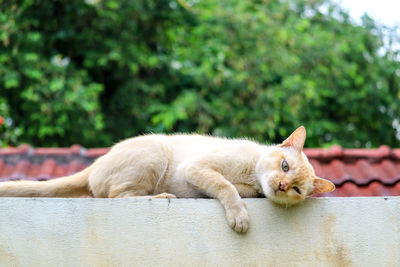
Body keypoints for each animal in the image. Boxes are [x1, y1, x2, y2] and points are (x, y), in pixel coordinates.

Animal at [0, 126, 332, 233]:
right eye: (285, 165)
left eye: (297, 189)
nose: (282, 185)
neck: (251, 174)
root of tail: (95, 164)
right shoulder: (195, 168)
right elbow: (224, 186)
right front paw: (239, 216)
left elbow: (235, 190)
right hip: (154, 154)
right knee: (117, 197)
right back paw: (162, 197)